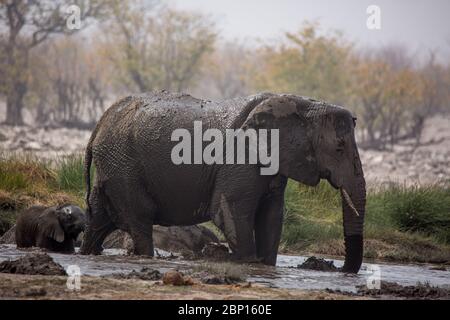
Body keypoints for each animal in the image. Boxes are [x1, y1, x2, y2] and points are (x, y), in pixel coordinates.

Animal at [80, 91, 366, 274]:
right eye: (339, 148)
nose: (342, 270)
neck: (303, 103)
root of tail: (99, 125)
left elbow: (272, 216)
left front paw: (266, 266)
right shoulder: (241, 157)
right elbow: (230, 211)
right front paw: (249, 264)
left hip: (113, 167)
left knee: (99, 221)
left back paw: (85, 254)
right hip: (123, 166)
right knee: (139, 219)